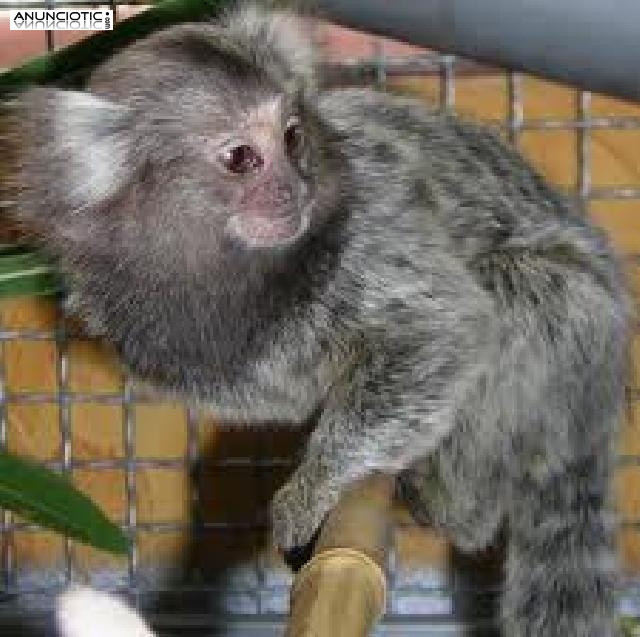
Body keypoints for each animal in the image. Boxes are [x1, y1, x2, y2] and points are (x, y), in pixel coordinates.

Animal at [1, 4, 628, 635]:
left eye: (292, 137)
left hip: (580, 332)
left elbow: (440, 330)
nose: (291, 187)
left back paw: (455, 505)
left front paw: (317, 483)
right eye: (241, 158)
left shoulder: (370, 231)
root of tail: (597, 410)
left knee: (522, 295)